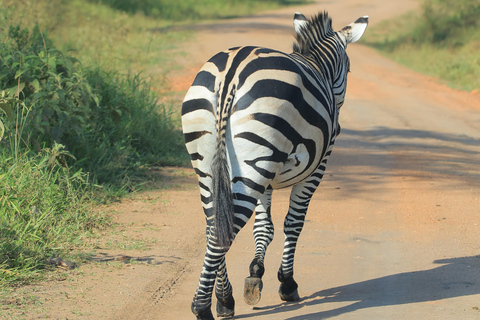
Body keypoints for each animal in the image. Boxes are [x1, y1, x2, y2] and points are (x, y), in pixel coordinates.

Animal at [180, 10, 368, 320]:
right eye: (350, 70)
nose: (339, 127)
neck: (316, 64)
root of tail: (231, 72)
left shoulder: (265, 174)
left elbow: (264, 227)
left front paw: (255, 274)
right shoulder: (316, 168)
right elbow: (294, 223)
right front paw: (287, 283)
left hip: (215, 166)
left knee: (213, 227)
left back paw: (224, 299)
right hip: (253, 164)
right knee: (221, 236)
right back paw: (203, 307)